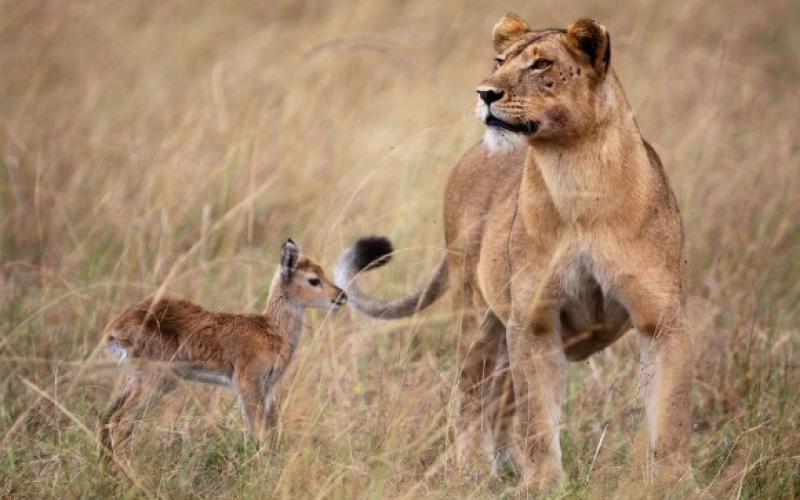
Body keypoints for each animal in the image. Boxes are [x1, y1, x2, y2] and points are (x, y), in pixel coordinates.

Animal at [98, 239, 346, 458]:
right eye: (314, 279)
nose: (341, 296)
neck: (272, 331)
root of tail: (114, 327)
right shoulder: (247, 385)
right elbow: (257, 432)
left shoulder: (268, 389)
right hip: (157, 379)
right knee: (120, 421)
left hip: (137, 379)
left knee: (107, 416)